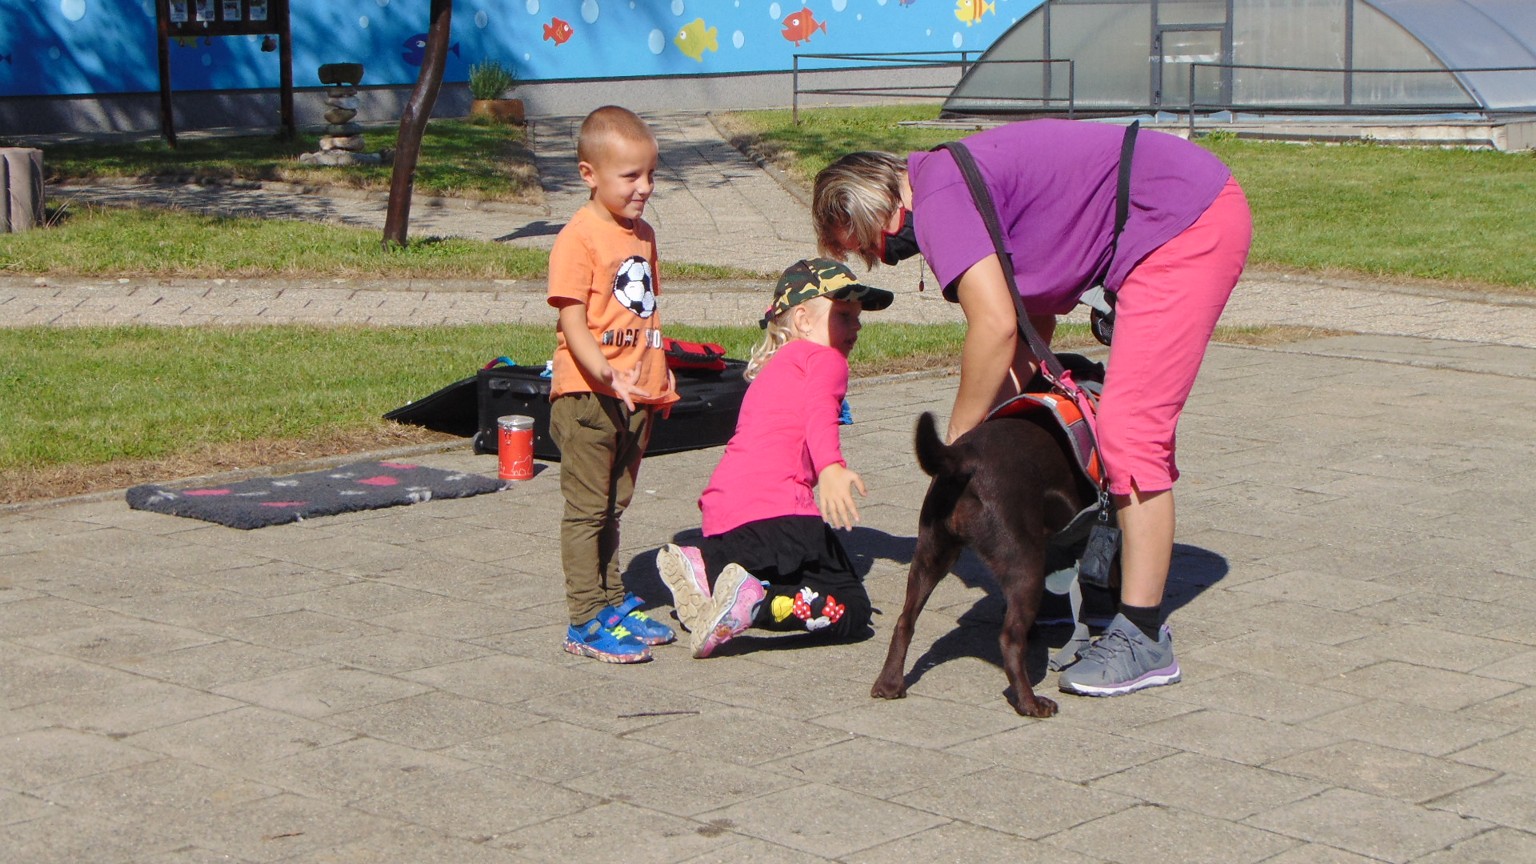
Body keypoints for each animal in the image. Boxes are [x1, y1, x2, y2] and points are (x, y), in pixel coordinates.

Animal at [871, 409, 1095, 718]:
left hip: (931, 554)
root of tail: (965, 457)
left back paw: (889, 683)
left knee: (905, 620)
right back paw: (1031, 703)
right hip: (1025, 564)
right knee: (1010, 640)